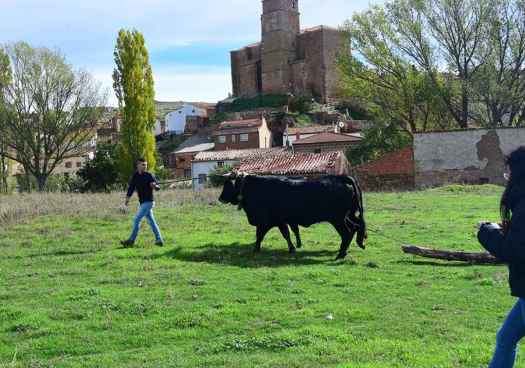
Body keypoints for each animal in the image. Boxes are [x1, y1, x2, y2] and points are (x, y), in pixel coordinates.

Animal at [219, 175, 366, 258]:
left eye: (228, 184)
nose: (220, 198)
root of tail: (340, 178)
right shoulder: (279, 221)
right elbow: (284, 234)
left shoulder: (269, 221)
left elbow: (265, 235)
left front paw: (256, 249)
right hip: (347, 216)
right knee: (356, 227)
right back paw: (349, 248)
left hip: (338, 219)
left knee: (348, 232)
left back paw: (341, 254)